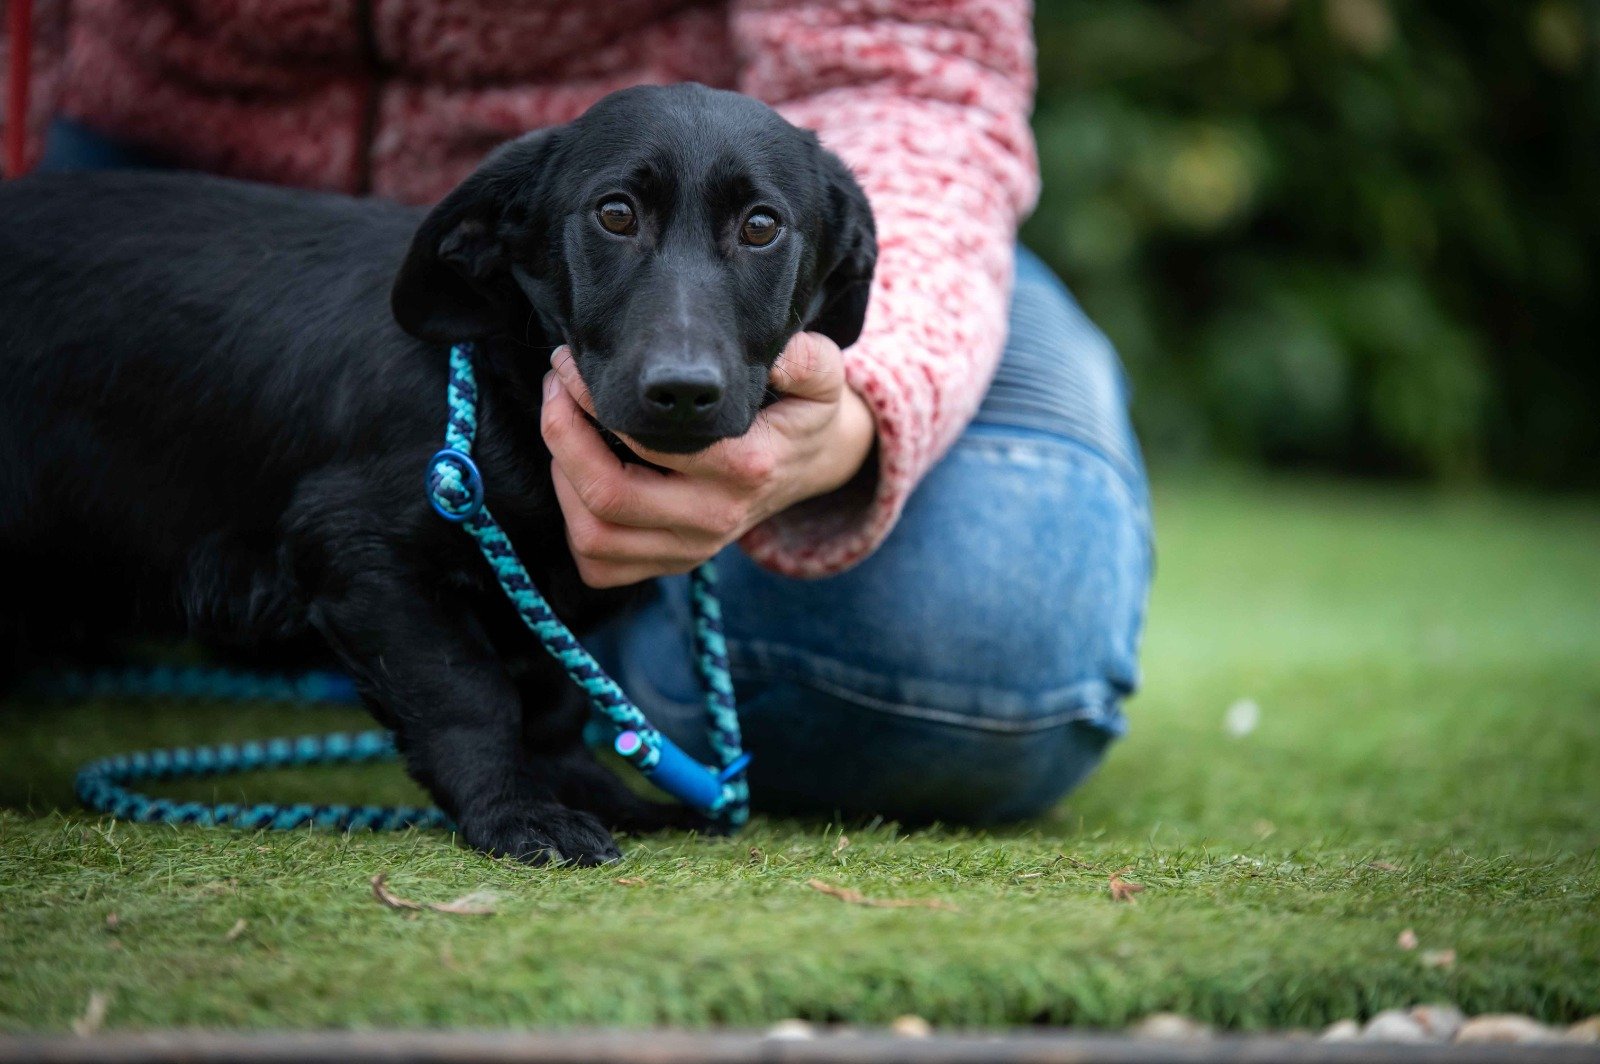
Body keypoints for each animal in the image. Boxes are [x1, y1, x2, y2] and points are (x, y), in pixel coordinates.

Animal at [0, 83, 876, 864]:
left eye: (761, 227)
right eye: (616, 213)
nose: (683, 392)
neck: (498, 382)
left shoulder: (530, 591)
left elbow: (552, 693)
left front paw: (595, 794)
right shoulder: (361, 551)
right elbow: (469, 696)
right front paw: (516, 813)